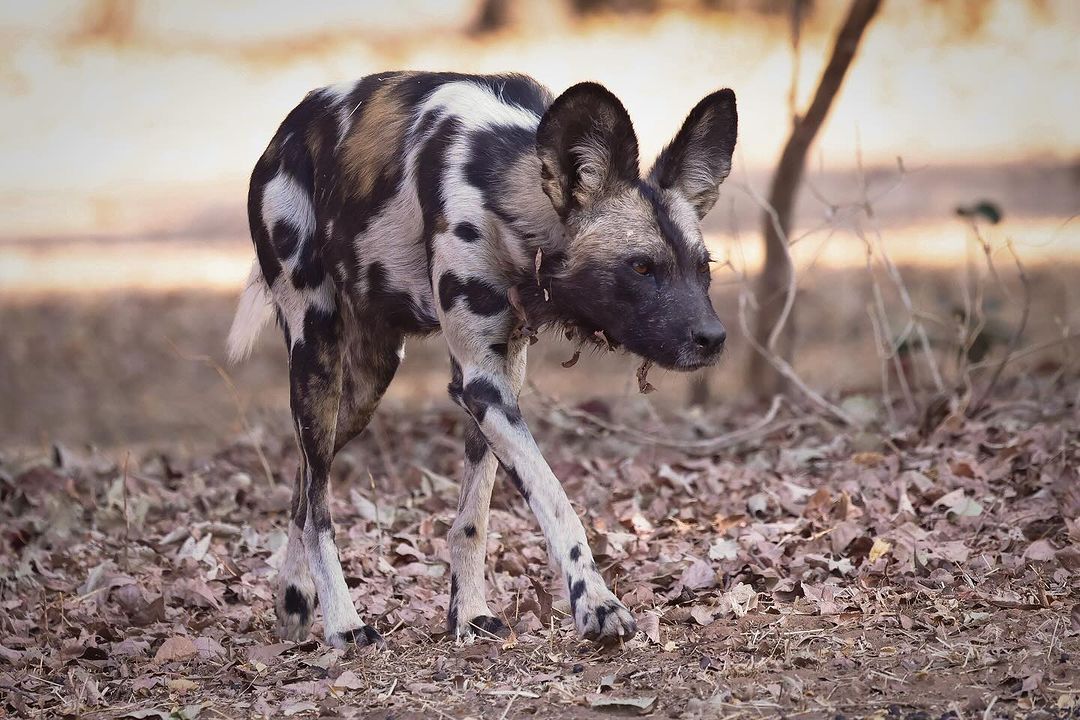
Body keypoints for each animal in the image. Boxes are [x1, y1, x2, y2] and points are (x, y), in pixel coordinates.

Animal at [226, 71, 734, 647]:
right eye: (642, 268)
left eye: (703, 267)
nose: (713, 338)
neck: (507, 195)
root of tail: (287, 129)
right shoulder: (481, 385)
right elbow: (556, 501)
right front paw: (597, 605)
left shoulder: (497, 380)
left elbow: (473, 520)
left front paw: (467, 614)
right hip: (316, 352)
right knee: (318, 505)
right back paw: (343, 622)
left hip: (363, 389)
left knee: (306, 482)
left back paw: (294, 600)